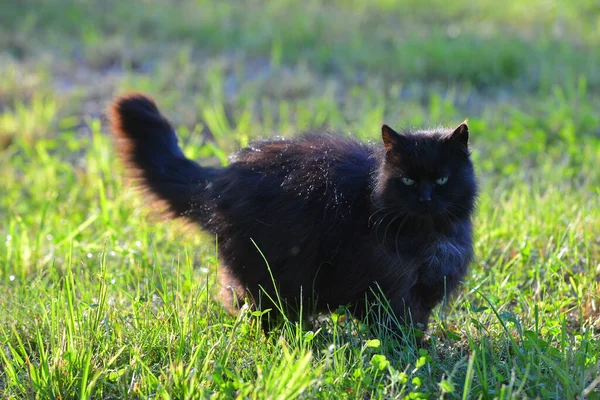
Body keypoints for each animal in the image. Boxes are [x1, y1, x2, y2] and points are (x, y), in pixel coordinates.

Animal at [109, 93, 478, 332]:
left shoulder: (426, 288)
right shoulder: (385, 285)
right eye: (408, 180)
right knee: (249, 302)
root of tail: (219, 177)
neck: (429, 237)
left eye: (442, 179)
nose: (426, 198)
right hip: (265, 270)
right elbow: (392, 322)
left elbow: (417, 319)